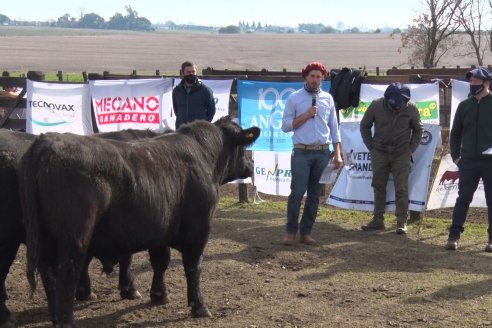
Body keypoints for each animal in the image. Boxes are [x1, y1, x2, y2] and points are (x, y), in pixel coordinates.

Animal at [0, 127, 159, 326]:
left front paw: (84, 291)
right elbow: (126, 258)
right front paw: (128, 289)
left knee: (49, 273)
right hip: (9, 238)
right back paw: (7, 316)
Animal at [21, 116, 260, 326]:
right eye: (243, 148)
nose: (251, 164)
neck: (203, 154)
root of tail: (48, 141)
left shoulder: (161, 230)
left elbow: (160, 262)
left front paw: (159, 294)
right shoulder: (199, 231)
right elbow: (193, 268)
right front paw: (199, 306)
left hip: (45, 238)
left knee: (49, 274)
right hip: (74, 239)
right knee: (66, 274)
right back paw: (66, 320)